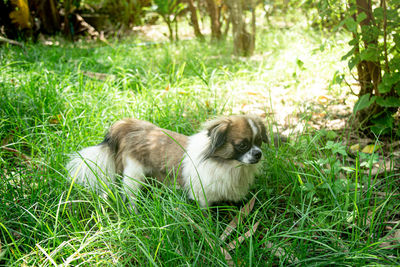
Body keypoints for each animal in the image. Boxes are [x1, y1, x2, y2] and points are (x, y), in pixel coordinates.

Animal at [67, 115, 268, 209]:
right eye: (242, 145)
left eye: (259, 142)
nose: (258, 154)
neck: (227, 164)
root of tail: (129, 126)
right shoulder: (202, 196)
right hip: (134, 173)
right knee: (131, 194)